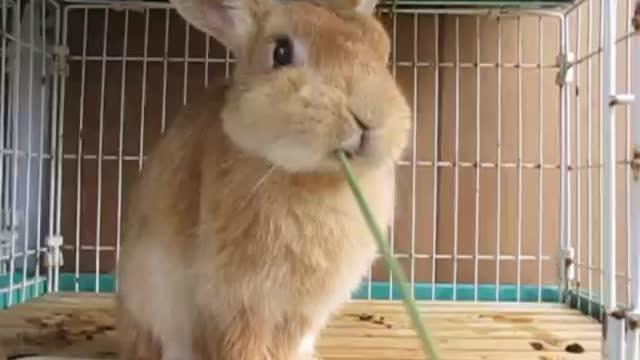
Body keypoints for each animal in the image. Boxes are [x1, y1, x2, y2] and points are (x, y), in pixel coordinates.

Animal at [115, 0, 412, 358]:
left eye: (382, 47)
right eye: (281, 52)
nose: (369, 118)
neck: (316, 177)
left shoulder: (301, 307)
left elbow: (285, 341)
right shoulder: (237, 299)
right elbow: (243, 344)